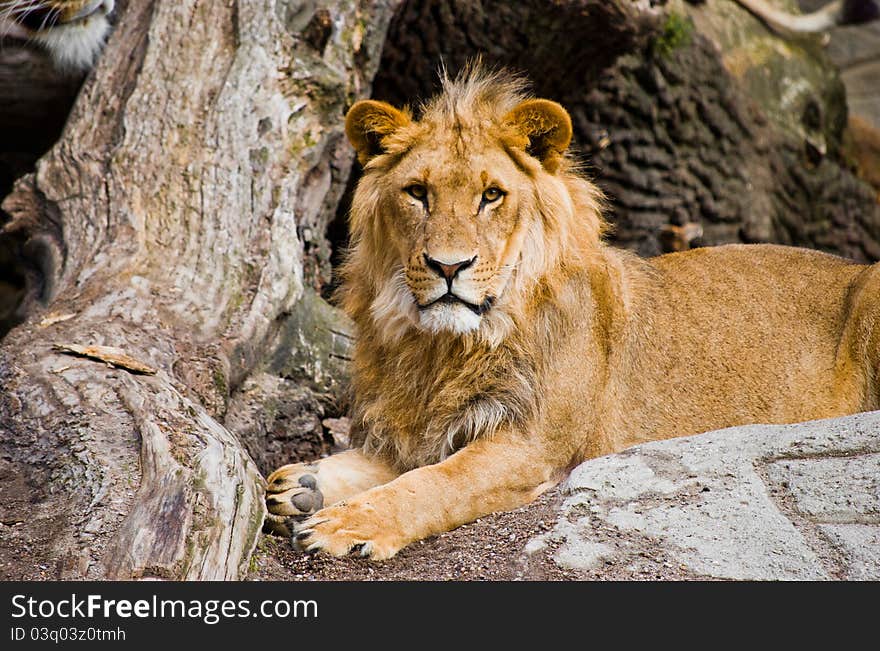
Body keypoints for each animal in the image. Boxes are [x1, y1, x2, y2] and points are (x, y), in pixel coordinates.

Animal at [264, 65, 880, 560]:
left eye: (491, 195)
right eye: (417, 192)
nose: (448, 266)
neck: (441, 346)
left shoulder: (531, 445)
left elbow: (434, 483)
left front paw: (348, 522)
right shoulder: (421, 422)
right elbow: (392, 461)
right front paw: (303, 483)